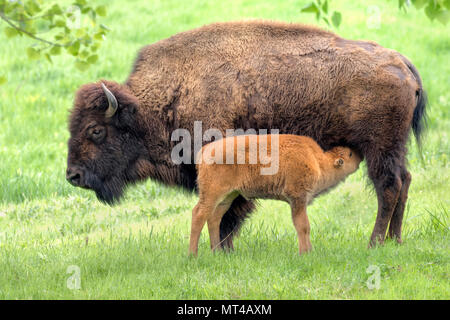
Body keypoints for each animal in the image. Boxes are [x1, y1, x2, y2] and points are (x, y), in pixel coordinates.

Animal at [190, 134, 362, 256]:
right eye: (350, 154)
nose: (360, 154)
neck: (317, 161)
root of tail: (206, 149)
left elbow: (304, 226)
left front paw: (309, 251)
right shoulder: (297, 199)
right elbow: (303, 226)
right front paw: (304, 253)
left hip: (227, 197)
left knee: (214, 218)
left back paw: (217, 252)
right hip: (212, 194)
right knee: (199, 214)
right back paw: (193, 255)